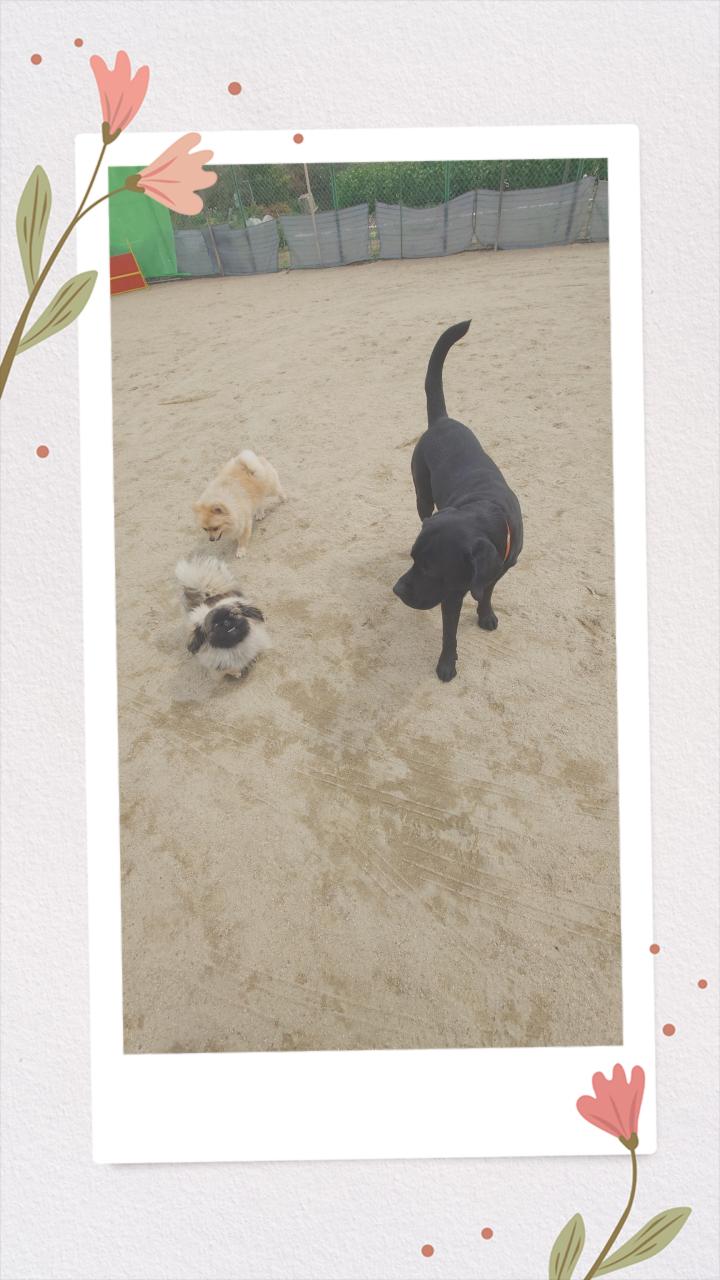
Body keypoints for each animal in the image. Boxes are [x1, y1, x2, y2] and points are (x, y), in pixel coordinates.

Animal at [393, 320, 523, 682]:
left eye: (430, 567)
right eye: (414, 560)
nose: (397, 590)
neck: (485, 510)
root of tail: (441, 420)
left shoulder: (499, 569)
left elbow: (486, 592)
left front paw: (486, 614)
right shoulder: (449, 594)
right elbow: (449, 632)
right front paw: (447, 664)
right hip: (422, 494)